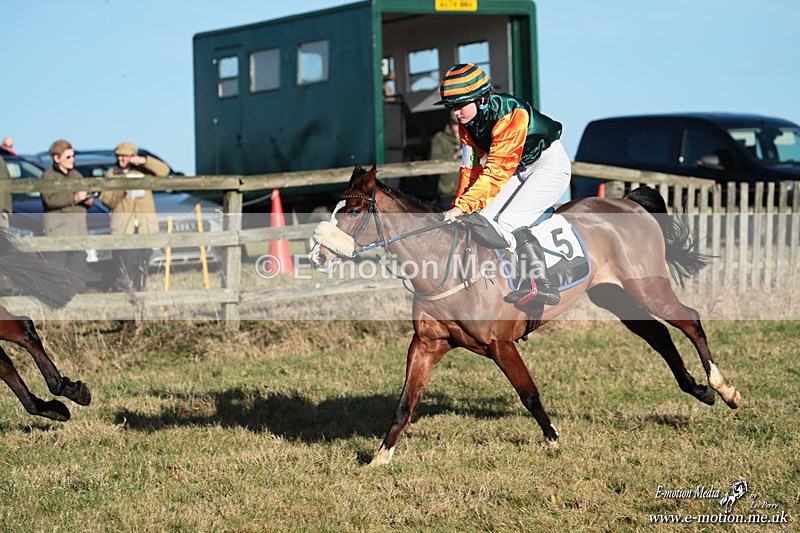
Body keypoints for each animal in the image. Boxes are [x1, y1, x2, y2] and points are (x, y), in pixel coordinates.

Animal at [311, 165, 740, 466]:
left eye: (352, 209)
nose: (316, 255)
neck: (447, 265)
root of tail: (629, 201)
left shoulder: (499, 344)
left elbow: (529, 393)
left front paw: (553, 438)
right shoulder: (428, 343)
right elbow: (405, 401)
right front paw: (381, 456)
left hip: (647, 285)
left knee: (690, 320)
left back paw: (723, 388)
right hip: (614, 295)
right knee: (659, 336)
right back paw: (699, 390)